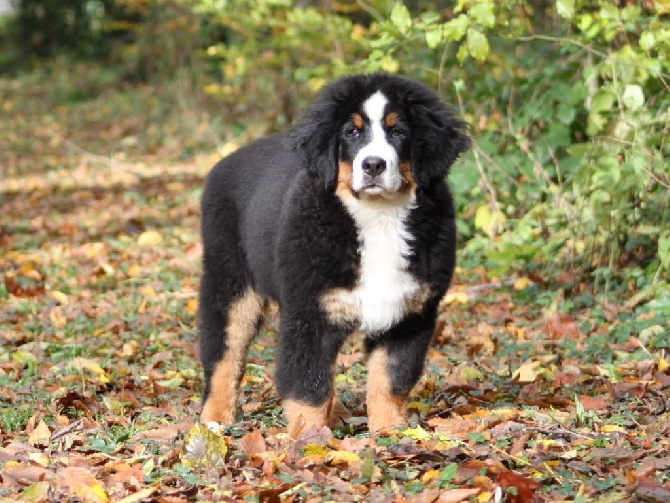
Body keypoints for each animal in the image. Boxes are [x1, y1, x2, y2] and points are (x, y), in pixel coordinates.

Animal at [200, 72, 472, 438]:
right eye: (351, 132)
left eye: (399, 132)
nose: (373, 165)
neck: (378, 217)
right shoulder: (309, 313)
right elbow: (308, 385)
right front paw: (310, 438)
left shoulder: (409, 314)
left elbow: (390, 379)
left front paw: (390, 432)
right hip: (230, 280)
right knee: (223, 352)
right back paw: (215, 417)